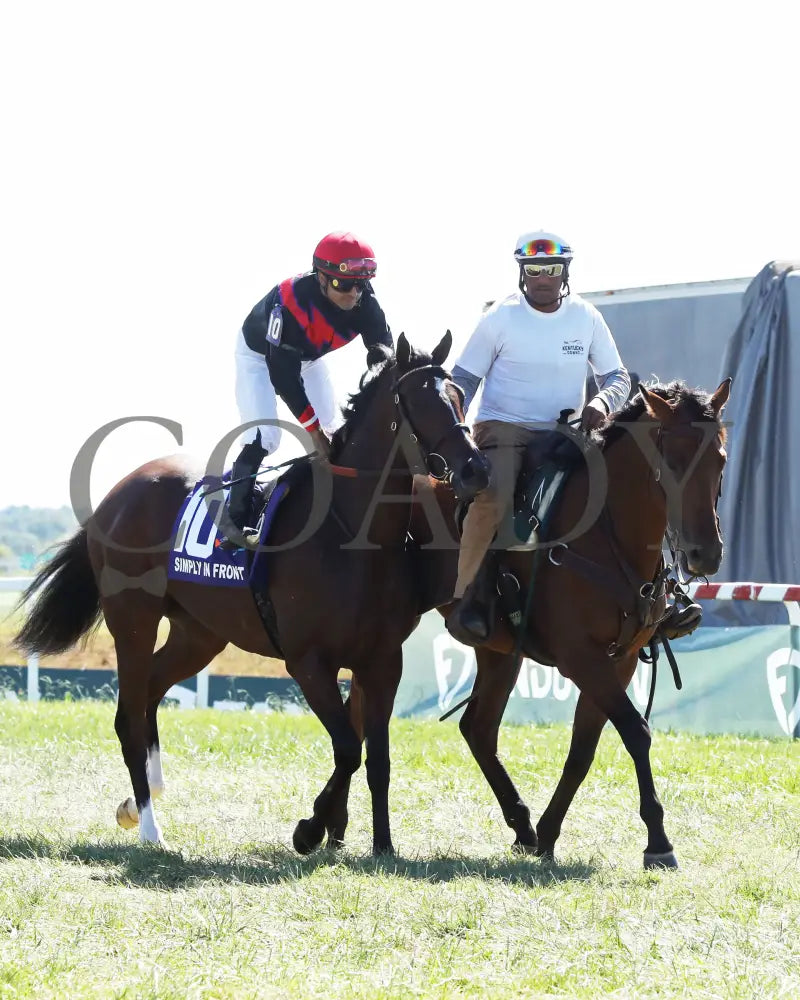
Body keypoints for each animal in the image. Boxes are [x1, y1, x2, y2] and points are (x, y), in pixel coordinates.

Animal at [17, 332, 488, 856]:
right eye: (423, 403)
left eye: (460, 397)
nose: (476, 469)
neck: (352, 535)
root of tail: (113, 497)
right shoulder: (308, 662)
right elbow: (348, 749)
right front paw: (310, 830)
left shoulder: (382, 661)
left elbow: (378, 760)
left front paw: (382, 846)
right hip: (133, 621)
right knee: (128, 717)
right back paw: (150, 827)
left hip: (199, 633)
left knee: (152, 691)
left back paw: (142, 800)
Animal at [350, 376, 732, 868]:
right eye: (672, 459)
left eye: (719, 458)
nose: (706, 554)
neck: (604, 532)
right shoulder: (582, 658)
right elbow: (636, 731)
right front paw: (658, 841)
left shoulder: (619, 660)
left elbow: (583, 750)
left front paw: (549, 834)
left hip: (498, 654)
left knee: (477, 728)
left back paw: (522, 825)